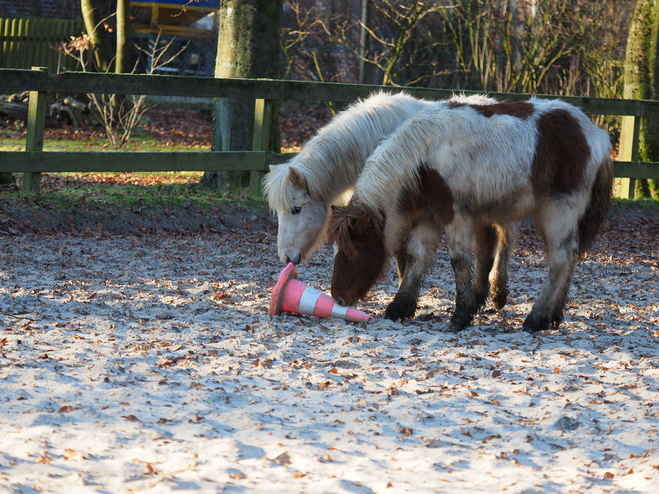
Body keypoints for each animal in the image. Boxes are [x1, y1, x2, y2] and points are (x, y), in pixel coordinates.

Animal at [328, 97, 612, 332]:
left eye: (352, 252)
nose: (338, 297)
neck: (426, 157)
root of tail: (595, 134)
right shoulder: (427, 217)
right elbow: (416, 257)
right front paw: (399, 307)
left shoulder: (456, 215)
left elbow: (459, 261)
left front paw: (461, 316)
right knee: (570, 257)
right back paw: (553, 316)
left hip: (557, 212)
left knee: (560, 260)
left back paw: (536, 318)